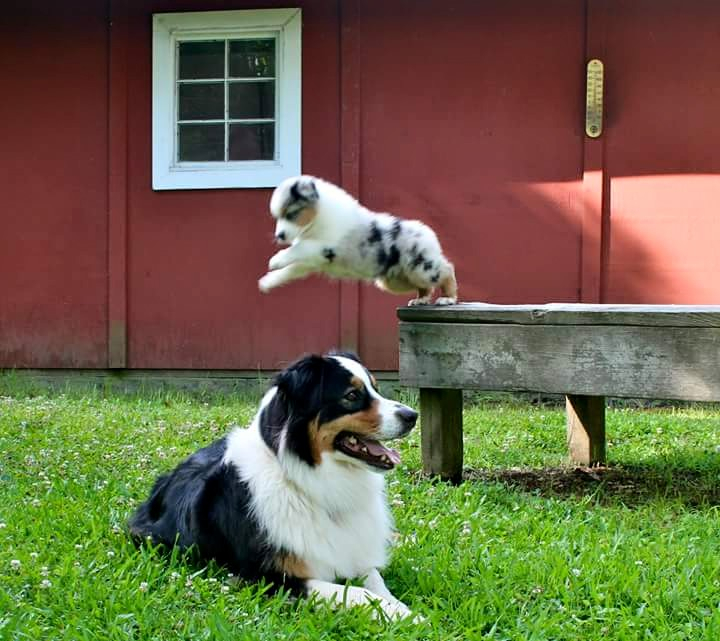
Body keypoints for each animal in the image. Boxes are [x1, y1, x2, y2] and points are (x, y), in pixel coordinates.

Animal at [131, 352, 416, 616]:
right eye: (352, 395)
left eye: (375, 388)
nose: (412, 415)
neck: (307, 482)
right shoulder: (268, 578)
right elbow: (359, 593)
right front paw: (405, 617)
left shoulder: (354, 552)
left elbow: (375, 580)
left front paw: (402, 609)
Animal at [258, 175, 456, 304]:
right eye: (277, 216)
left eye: (292, 214)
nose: (279, 236)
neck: (317, 217)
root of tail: (427, 232)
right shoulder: (312, 261)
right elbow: (290, 270)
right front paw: (267, 282)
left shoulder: (323, 245)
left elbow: (298, 248)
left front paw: (275, 260)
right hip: (396, 281)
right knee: (425, 286)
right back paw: (421, 299)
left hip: (421, 267)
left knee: (446, 270)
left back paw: (448, 298)